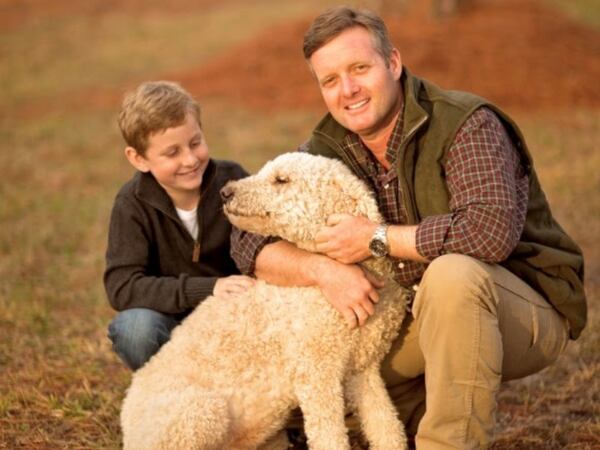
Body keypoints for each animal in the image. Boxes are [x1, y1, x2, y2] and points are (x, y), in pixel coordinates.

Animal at [119, 152, 410, 450]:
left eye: (281, 179)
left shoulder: (363, 369)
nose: (225, 192)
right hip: (198, 414)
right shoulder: (316, 374)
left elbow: (386, 426)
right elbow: (329, 437)